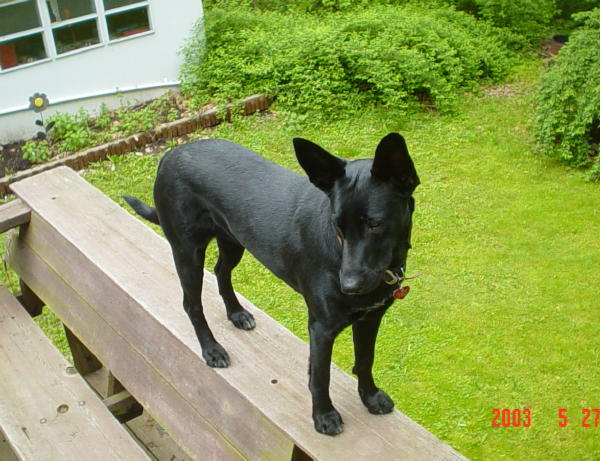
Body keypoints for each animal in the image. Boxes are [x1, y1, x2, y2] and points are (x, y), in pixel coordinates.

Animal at [124, 131, 420, 434]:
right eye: (337, 225)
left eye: (375, 224)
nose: (347, 286)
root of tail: (170, 154)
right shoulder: (321, 328)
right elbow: (320, 376)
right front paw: (324, 416)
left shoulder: (370, 318)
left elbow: (364, 360)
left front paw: (370, 397)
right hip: (187, 252)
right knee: (191, 304)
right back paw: (211, 349)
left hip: (233, 238)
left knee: (221, 272)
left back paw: (237, 314)